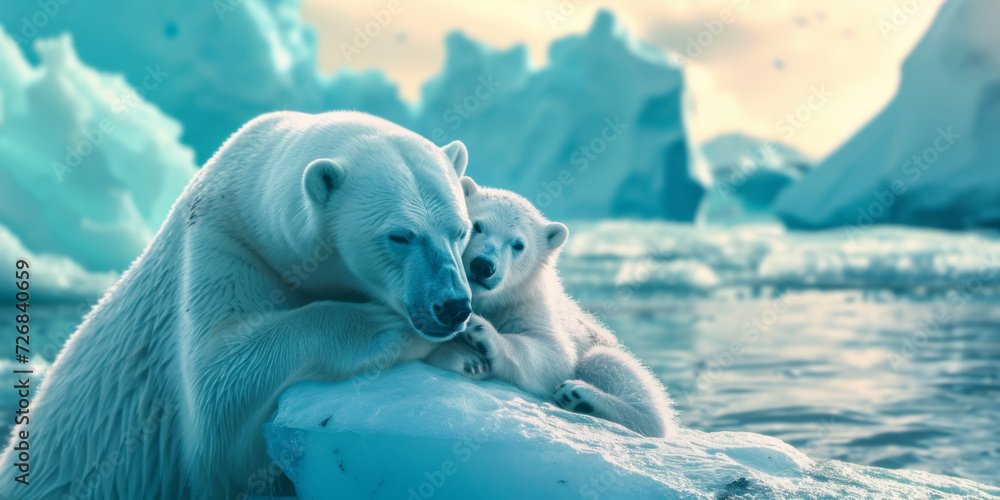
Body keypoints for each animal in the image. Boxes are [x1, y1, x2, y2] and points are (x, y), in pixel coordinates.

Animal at [0, 111, 477, 499]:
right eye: (399, 235)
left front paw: (469, 352)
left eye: (461, 230)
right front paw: (387, 325)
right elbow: (218, 393)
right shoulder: (219, 242)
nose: (453, 305)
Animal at [426, 178, 677, 438]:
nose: (483, 266)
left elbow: (554, 354)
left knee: (611, 366)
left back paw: (581, 397)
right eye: (477, 226)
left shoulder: (529, 304)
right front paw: (467, 359)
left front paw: (479, 332)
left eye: (518, 245)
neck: (490, 300)